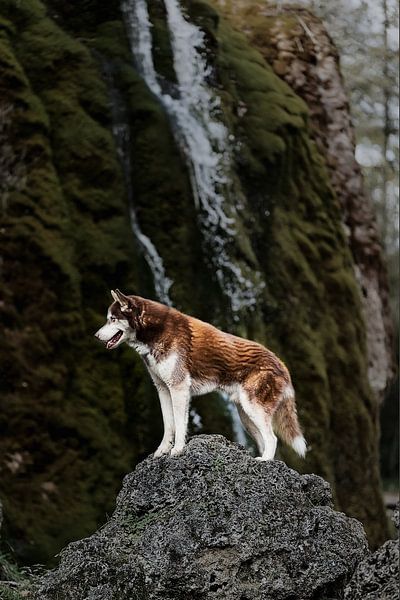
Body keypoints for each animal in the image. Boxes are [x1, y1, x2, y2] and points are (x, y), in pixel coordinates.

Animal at [94, 290, 306, 460]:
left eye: (112, 319)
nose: (96, 335)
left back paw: (265, 460)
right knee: (265, 440)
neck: (156, 332)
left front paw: (177, 450)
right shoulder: (164, 390)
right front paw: (162, 451)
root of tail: (282, 364)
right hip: (246, 416)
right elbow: (169, 426)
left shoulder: (179, 389)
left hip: (253, 409)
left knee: (273, 438)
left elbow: (180, 426)